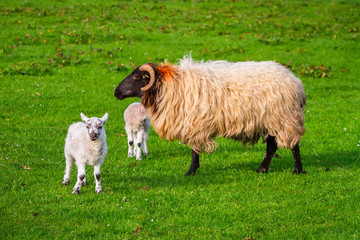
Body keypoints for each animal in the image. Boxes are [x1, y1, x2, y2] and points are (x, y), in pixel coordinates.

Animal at [114, 56, 306, 176]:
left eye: (136, 77)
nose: (116, 92)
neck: (168, 86)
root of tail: (296, 82)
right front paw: (192, 170)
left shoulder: (194, 123)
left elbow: (194, 150)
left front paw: (191, 171)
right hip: (272, 120)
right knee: (272, 146)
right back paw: (262, 169)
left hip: (284, 117)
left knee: (293, 144)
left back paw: (297, 170)